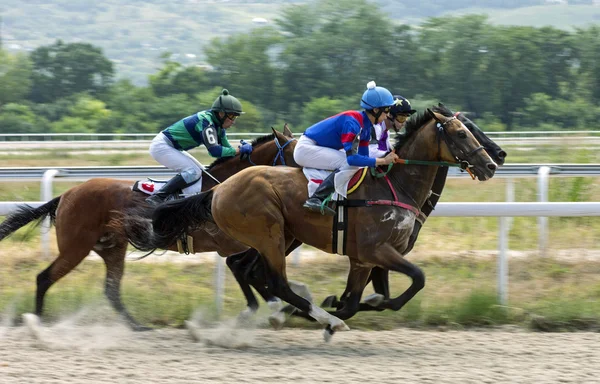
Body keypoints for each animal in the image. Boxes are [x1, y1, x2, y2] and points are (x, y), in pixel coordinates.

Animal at [0, 127, 296, 330]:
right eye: (295, 154)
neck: (224, 186)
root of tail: (67, 194)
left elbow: (251, 268)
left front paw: (276, 306)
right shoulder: (230, 243)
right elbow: (245, 266)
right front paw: (272, 306)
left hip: (111, 248)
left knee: (111, 290)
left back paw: (136, 326)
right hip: (76, 247)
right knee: (44, 278)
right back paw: (38, 323)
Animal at [142, 108, 496, 340]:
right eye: (462, 132)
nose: (492, 163)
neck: (394, 184)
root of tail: (219, 188)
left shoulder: (367, 258)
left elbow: (368, 299)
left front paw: (335, 304)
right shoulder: (374, 251)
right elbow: (413, 281)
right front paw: (323, 312)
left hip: (280, 237)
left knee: (255, 273)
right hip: (269, 235)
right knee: (272, 281)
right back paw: (301, 314)